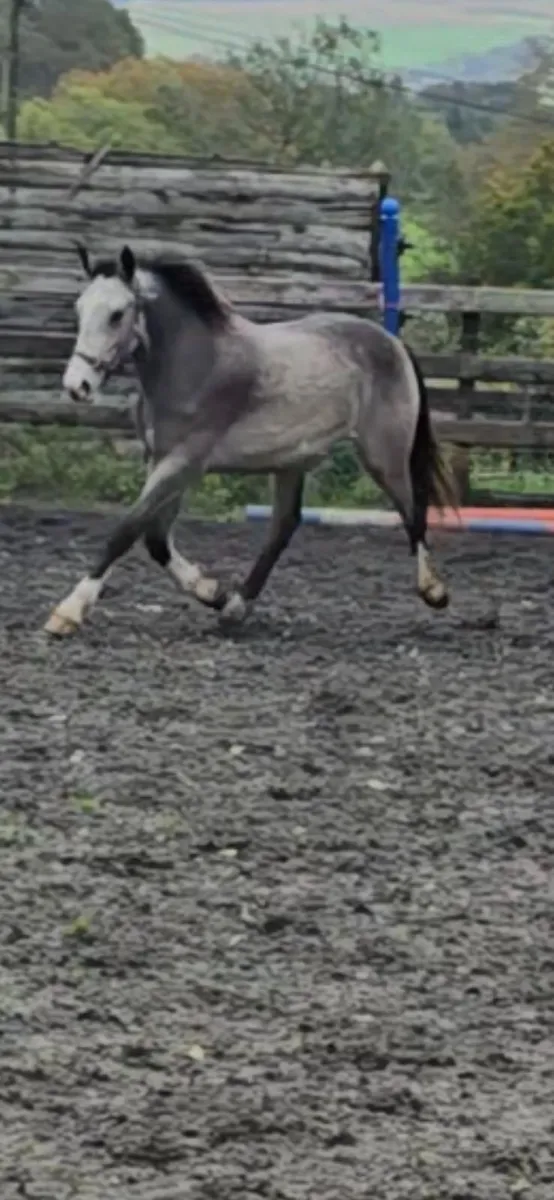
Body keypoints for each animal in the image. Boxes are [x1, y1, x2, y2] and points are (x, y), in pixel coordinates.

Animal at [45, 243, 456, 636]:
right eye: (79, 309)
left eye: (117, 314)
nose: (77, 386)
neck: (192, 365)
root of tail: (393, 343)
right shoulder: (162, 460)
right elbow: (156, 539)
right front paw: (212, 591)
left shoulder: (184, 462)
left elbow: (127, 530)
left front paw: (68, 612)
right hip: (292, 462)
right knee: (284, 527)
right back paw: (236, 606)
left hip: (384, 455)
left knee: (413, 510)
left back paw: (434, 590)